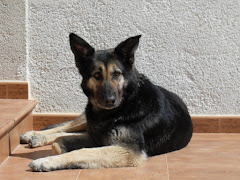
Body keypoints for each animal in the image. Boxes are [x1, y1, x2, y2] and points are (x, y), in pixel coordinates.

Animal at [20, 33, 193, 172]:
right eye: (97, 75)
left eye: (116, 74)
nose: (110, 100)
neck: (124, 106)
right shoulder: (97, 139)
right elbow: (60, 140)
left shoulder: (127, 151)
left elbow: (80, 150)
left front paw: (47, 161)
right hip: (85, 119)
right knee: (66, 127)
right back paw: (34, 135)